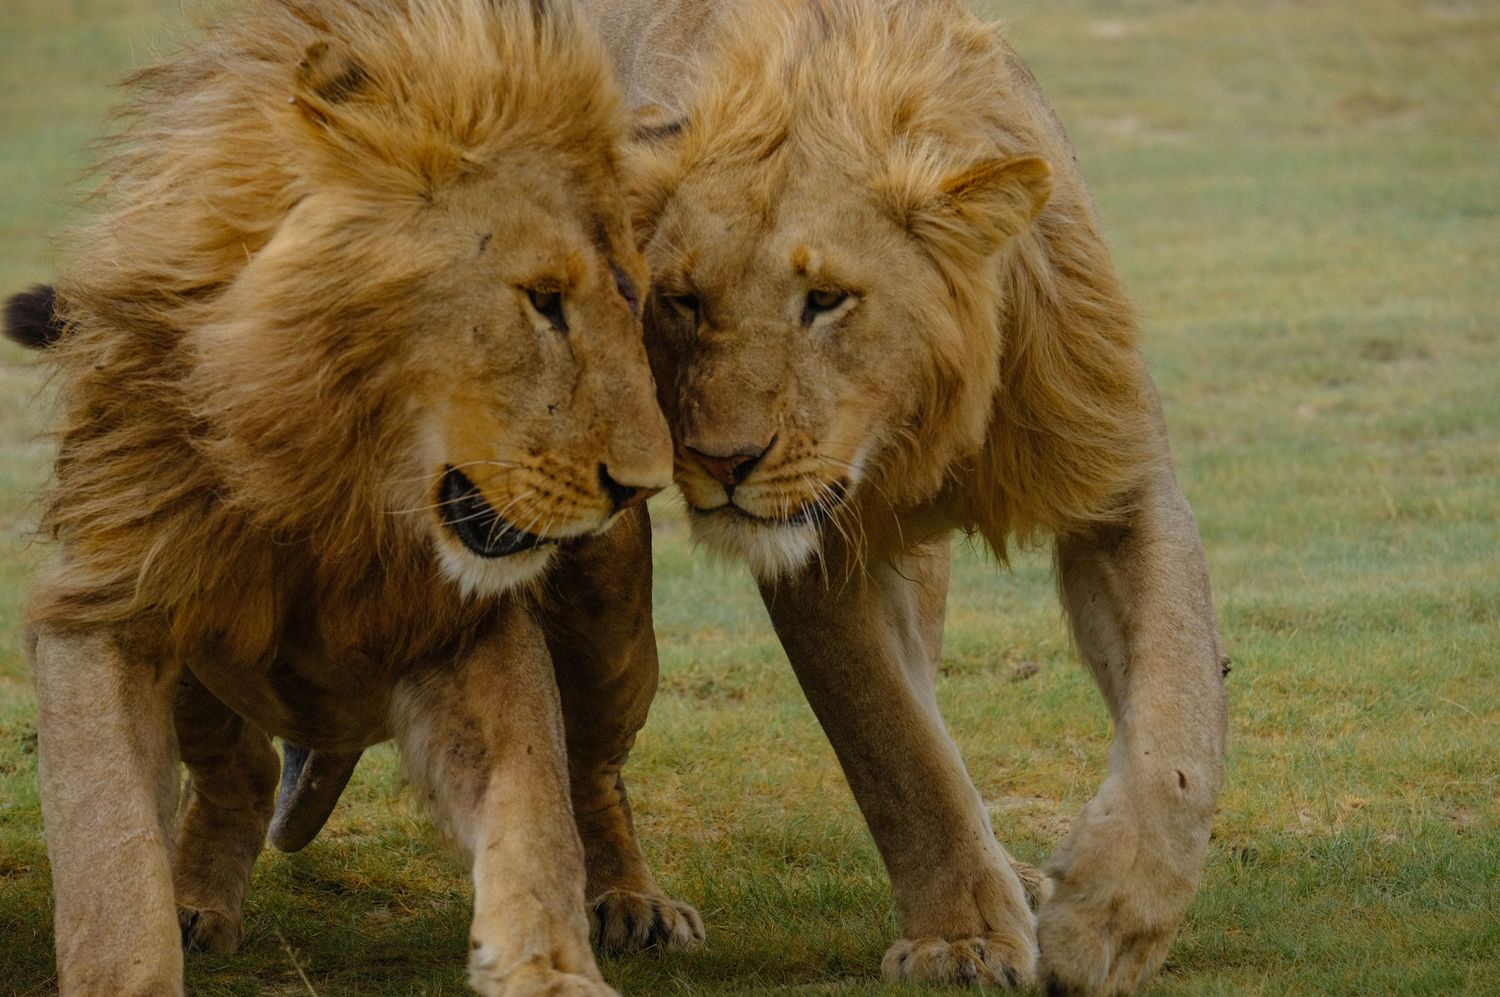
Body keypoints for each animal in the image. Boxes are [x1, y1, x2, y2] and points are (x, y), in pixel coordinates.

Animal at [19, 0, 703, 993]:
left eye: (635, 303)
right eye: (543, 300)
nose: (641, 481)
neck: (335, 474)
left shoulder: (467, 629)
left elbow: (534, 812)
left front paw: (551, 967)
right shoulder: (104, 603)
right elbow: (108, 852)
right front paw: (138, 952)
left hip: (611, 619)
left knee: (592, 773)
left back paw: (631, 898)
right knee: (239, 773)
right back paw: (197, 898)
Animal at [586, 0, 1231, 992]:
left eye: (826, 299)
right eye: (683, 300)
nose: (724, 460)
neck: (917, 422)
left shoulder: (1120, 479)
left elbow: (1179, 725)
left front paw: (1110, 920)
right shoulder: (811, 552)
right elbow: (894, 747)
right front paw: (959, 937)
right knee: (580, 755)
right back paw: (626, 904)